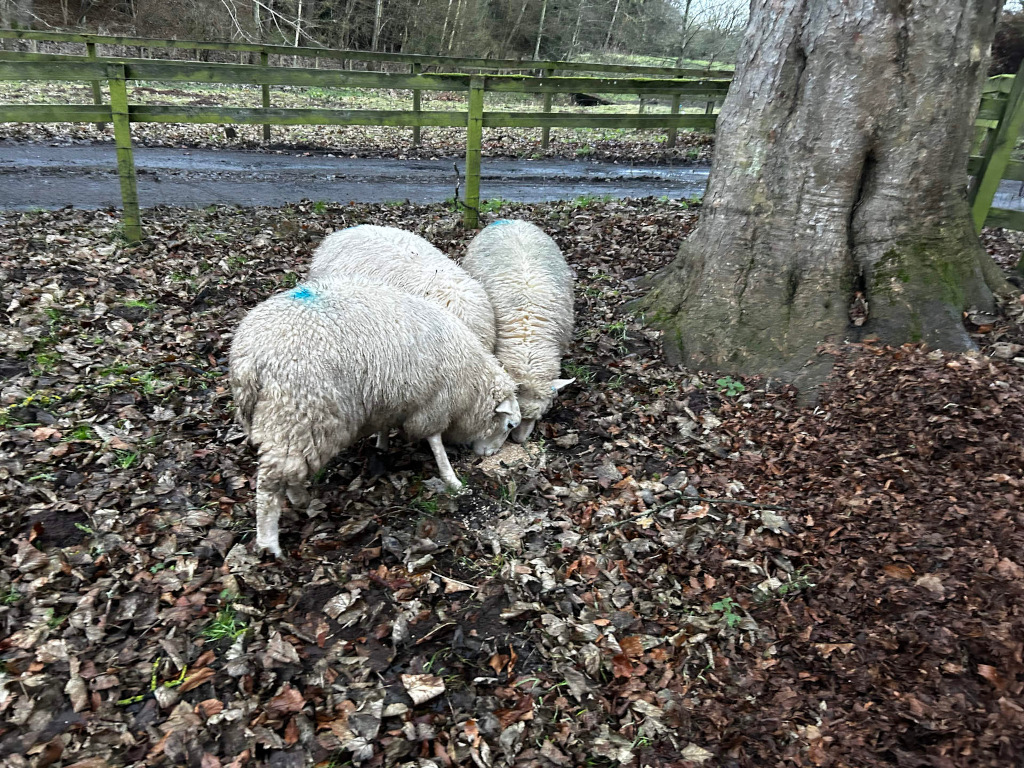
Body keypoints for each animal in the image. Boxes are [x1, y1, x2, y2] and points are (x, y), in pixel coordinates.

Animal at [229, 278, 520, 557]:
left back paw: (299, 499)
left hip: (285, 422)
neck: (471, 385)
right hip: (297, 411)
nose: (492, 455)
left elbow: (385, 427)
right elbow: (435, 442)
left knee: (287, 470)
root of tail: (250, 360)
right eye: (509, 425)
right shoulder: (433, 403)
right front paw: (453, 480)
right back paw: (269, 541)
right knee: (269, 484)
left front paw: (382, 446)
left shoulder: (390, 398)